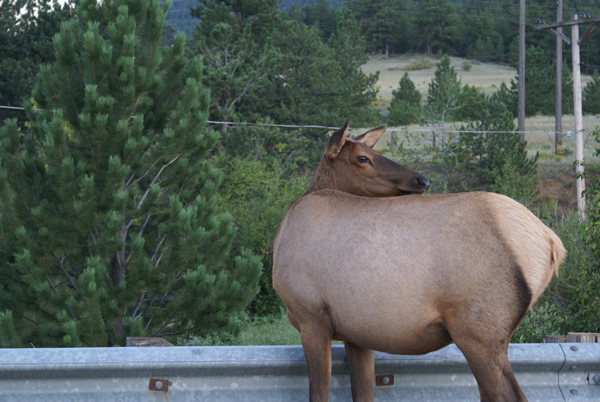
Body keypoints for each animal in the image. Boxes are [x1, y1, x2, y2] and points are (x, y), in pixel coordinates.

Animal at [274, 121, 564, 400]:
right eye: (363, 157)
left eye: (373, 153)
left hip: (478, 331)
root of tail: (551, 242)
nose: (422, 181)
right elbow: (364, 393)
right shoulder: (356, 334)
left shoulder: (311, 317)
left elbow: (319, 393)